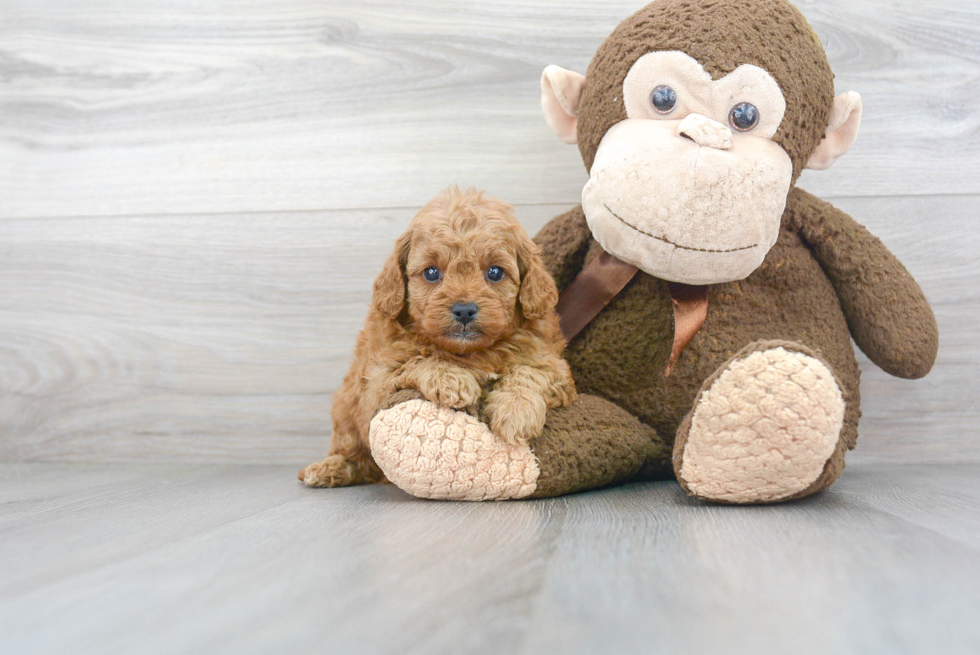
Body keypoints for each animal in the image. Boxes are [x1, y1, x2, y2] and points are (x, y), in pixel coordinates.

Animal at [298, 187, 576, 490]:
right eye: (431, 272)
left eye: (495, 272)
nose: (464, 309)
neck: (470, 353)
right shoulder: (376, 382)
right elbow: (416, 360)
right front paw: (451, 378)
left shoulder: (553, 365)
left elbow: (530, 371)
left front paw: (516, 411)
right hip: (346, 406)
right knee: (355, 454)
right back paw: (329, 468)